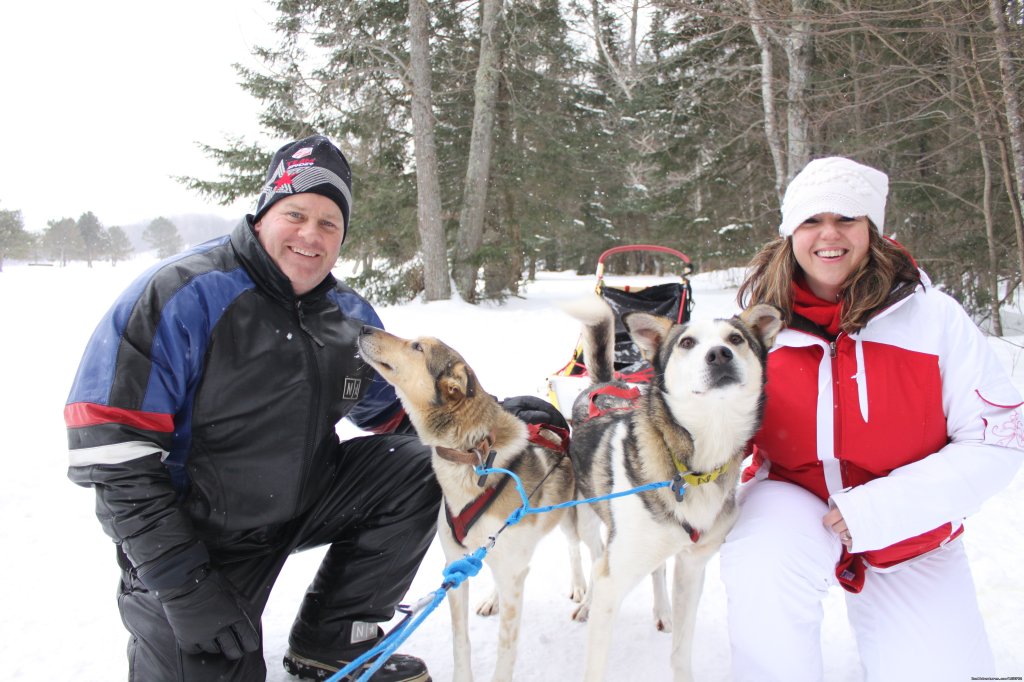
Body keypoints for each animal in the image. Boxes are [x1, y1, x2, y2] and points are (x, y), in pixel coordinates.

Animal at [358, 327, 585, 675]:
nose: (363, 327)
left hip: (572, 519)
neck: (471, 457)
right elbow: (460, 641)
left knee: (577, 550)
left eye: (417, 347)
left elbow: (506, 651)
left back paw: (581, 590)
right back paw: (493, 597)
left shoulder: (512, 575)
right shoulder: (455, 567)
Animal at [569, 294, 774, 675]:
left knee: (657, 568)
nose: (720, 354)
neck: (692, 469)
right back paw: (585, 598)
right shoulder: (612, 580)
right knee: (589, 553)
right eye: (687, 343)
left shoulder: (692, 568)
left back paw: (663, 610)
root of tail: (604, 385)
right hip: (586, 516)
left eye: (736, 339)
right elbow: (595, 665)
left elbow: (681, 650)